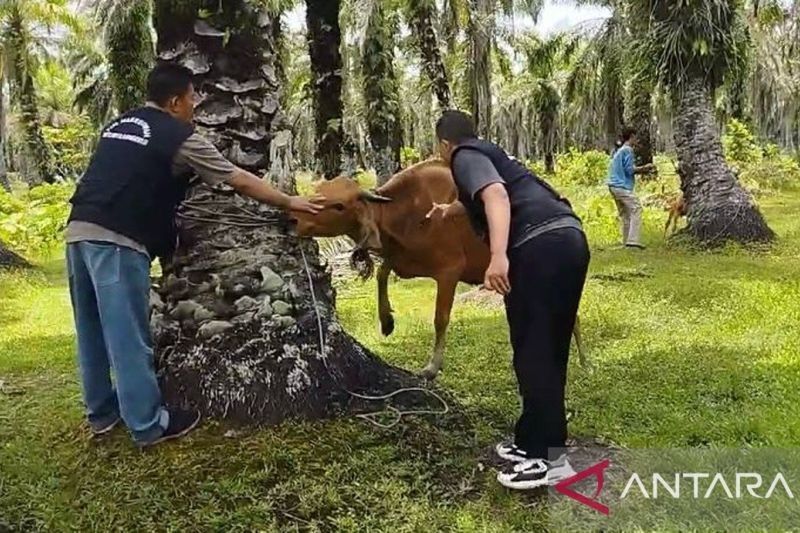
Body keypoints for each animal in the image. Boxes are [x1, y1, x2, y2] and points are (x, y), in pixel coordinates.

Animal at [290, 159, 584, 378]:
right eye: (317, 193)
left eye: (339, 205)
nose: (295, 219)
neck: (409, 211)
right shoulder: (402, 260)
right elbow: (382, 276)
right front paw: (386, 321)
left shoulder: (449, 271)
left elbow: (440, 319)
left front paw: (432, 367)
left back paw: (582, 362)